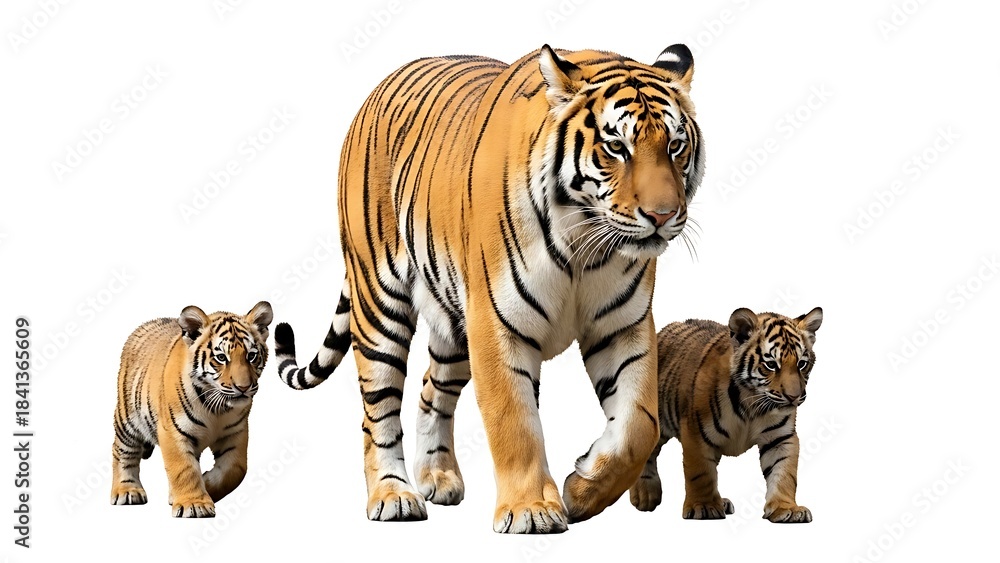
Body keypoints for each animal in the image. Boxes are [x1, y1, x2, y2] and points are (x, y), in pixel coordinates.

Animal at [110, 301, 273, 518]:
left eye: (251, 356)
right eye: (221, 357)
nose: (244, 387)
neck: (218, 408)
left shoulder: (235, 433)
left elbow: (236, 469)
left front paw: (205, 486)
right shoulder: (172, 432)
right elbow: (184, 469)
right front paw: (194, 504)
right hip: (127, 420)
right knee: (122, 452)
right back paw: (127, 490)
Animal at [274, 44, 705, 533]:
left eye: (675, 146)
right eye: (617, 147)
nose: (663, 215)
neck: (584, 243)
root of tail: (379, 88)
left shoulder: (623, 327)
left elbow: (638, 424)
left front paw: (583, 490)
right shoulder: (498, 327)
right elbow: (514, 421)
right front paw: (531, 510)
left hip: (455, 325)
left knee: (431, 390)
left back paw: (438, 477)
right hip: (380, 304)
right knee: (377, 410)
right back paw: (393, 495)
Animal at [628, 307, 823, 523]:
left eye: (802, 364)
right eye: (771, 365)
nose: (794, 397)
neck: (752, 405)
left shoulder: (781, 437)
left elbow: (784, 473)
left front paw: (786, 508)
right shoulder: (696, 434)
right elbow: (701, 473)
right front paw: (704, 506)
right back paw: (645, 494)